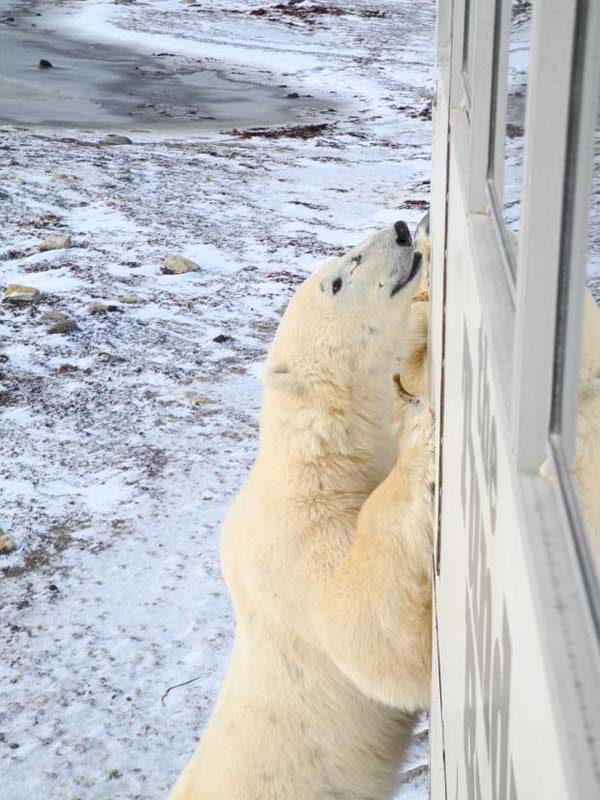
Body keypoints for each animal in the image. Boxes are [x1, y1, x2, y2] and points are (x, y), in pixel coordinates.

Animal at [169, 222, 436, 800]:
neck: (316, 458)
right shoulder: (292, 542)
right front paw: (421, 440)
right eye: (337, 279)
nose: (402, 230)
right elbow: (364, 633)